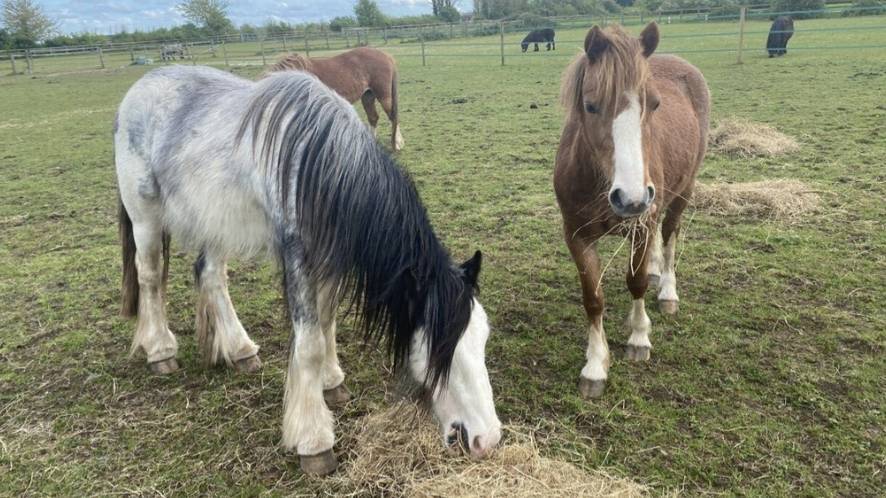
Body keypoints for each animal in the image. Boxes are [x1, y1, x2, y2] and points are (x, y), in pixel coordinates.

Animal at [114, 65, 501, 475]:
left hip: (215, 221)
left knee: (210, 274)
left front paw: (331, 383)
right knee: (150, 276)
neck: (321, 165)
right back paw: (160, 351)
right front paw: (314, 440)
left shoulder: (327, 259)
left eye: (482, 338)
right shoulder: (297, 254)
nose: (488, 439)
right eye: (443, 345)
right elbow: (310, 342)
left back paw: (239, 350)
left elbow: (326, 322)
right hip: (145, 216)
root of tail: (141, 86)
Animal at [267, 47, 404, 151]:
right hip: (368, 95)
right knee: (373, 117)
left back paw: (397, 144)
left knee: (393, 116)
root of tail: (386, 56)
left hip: (383, 95)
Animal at [554, 23, 710, 399]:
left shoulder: (641, 225)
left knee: (669, 236)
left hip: (682, 192)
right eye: (590, 105)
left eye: (655, 104)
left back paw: (667, 290)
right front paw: (596, 365)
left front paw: (639, 336)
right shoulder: (577, 236)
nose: (632, 198)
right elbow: (593, 298)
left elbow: (635, 283)